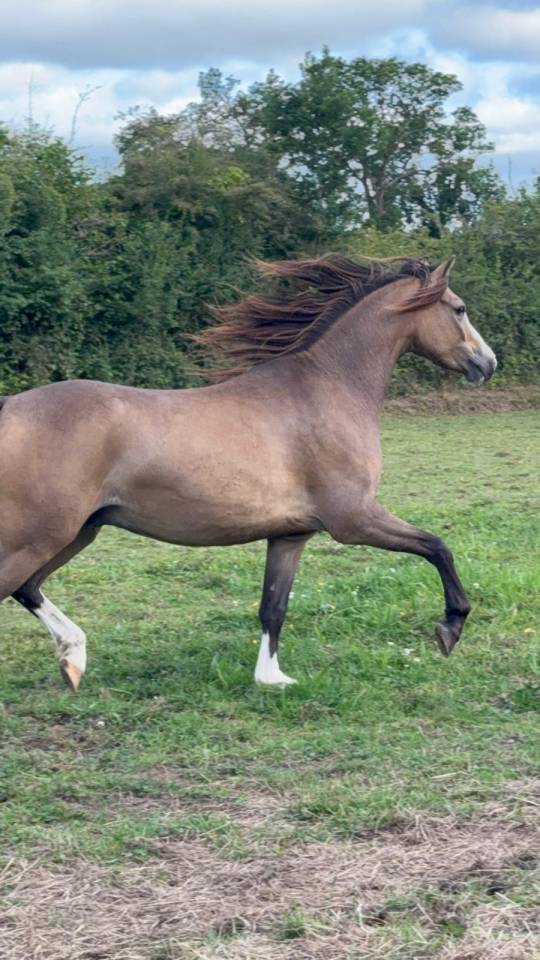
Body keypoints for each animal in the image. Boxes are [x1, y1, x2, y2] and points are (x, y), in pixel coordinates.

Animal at [0, 254, 496, 691]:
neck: (328, 389)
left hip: (78, 532)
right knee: (17, 585)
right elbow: (437, 547)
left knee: (27, 588)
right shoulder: (353, 520)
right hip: (40, 536)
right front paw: (450, 628)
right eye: (459, 308)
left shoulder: (291, 534)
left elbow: (272, 607)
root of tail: (9, 409)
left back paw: (74, 660)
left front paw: (271, 679)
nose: (489, 363)